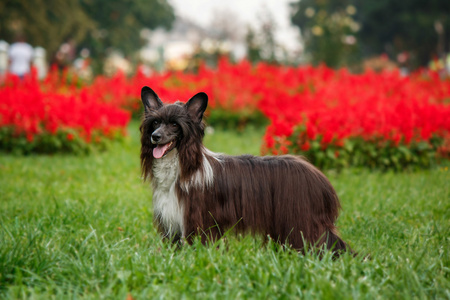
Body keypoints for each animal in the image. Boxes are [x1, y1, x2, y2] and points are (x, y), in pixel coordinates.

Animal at [139, 86, 350, 255]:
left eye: (175, 124)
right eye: (155, 123)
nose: (155, 136)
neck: (179, 166)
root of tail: (320, 178)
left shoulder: (198, 219)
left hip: (303, 220)